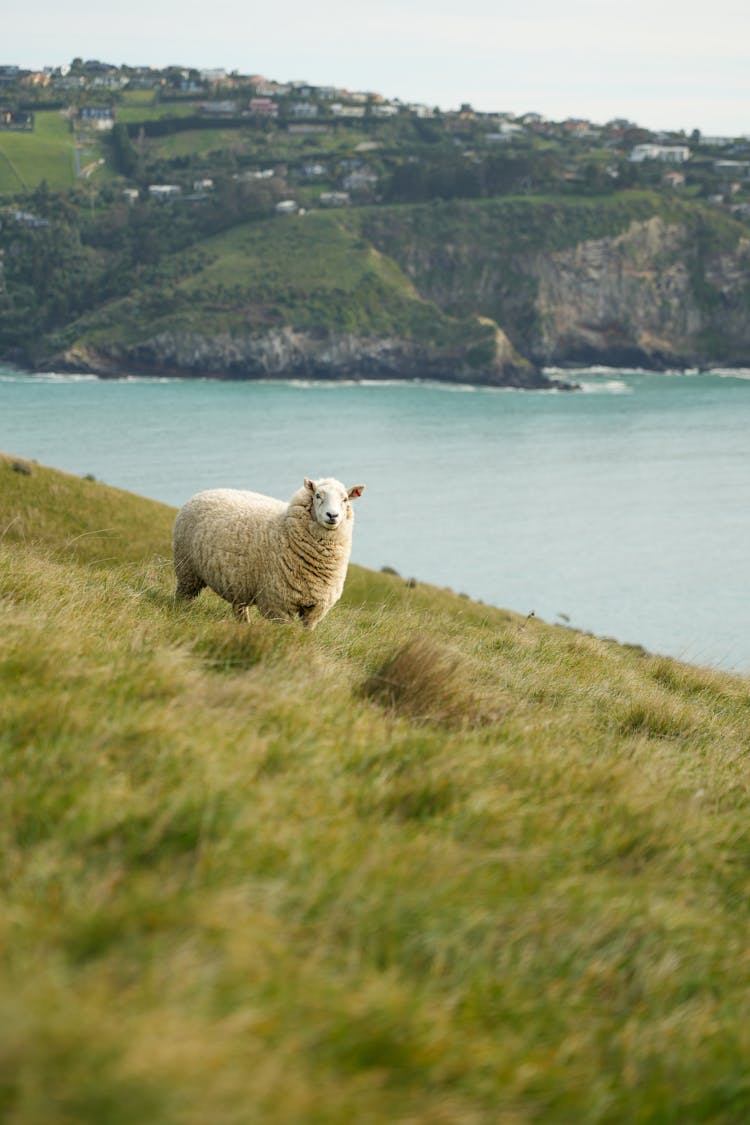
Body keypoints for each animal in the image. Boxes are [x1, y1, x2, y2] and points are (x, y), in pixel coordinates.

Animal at [174, 477, 366, 630]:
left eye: (345, 499)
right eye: (318, 495)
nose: (332, 515)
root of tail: (204, 492)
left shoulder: (316, 608)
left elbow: (307, 631)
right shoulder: (279, 604)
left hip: (238, 581)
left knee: (239, 608)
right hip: (187, 569)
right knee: (183, 595)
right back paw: (181, 612)